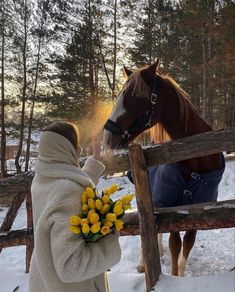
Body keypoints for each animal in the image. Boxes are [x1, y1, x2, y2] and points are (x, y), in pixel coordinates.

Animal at [102, 59, 225, 276]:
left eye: (133, 97)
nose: (108, 139)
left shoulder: (199, 210)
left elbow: (186, 247)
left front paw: (181, 275)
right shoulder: (173, 208)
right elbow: (175, 246)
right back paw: (143, 263)